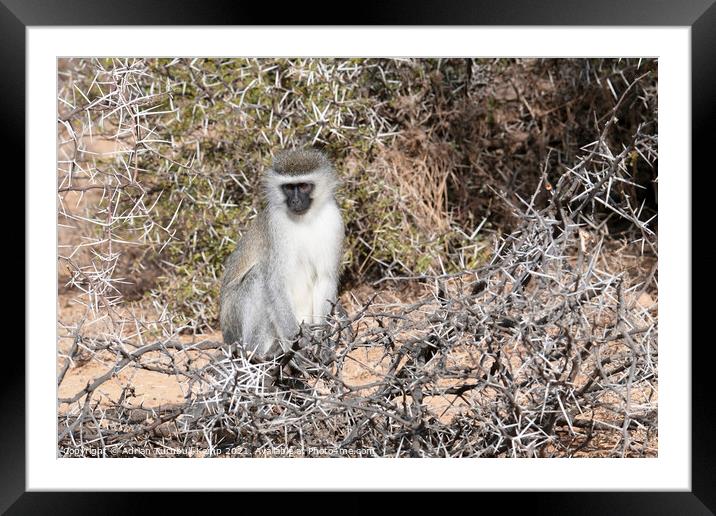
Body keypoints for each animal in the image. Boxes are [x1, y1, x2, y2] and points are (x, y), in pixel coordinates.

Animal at [220, 148, 346, 358]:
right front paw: (299, 339)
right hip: (232, 322)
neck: (306, 219)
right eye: (288, 187)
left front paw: (320, 340)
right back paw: (259, 353)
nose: (294, 200)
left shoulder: (334, 219)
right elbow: (275, 282)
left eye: (303, 186)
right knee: (258, 278)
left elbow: (325, 278)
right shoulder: (276, 223)